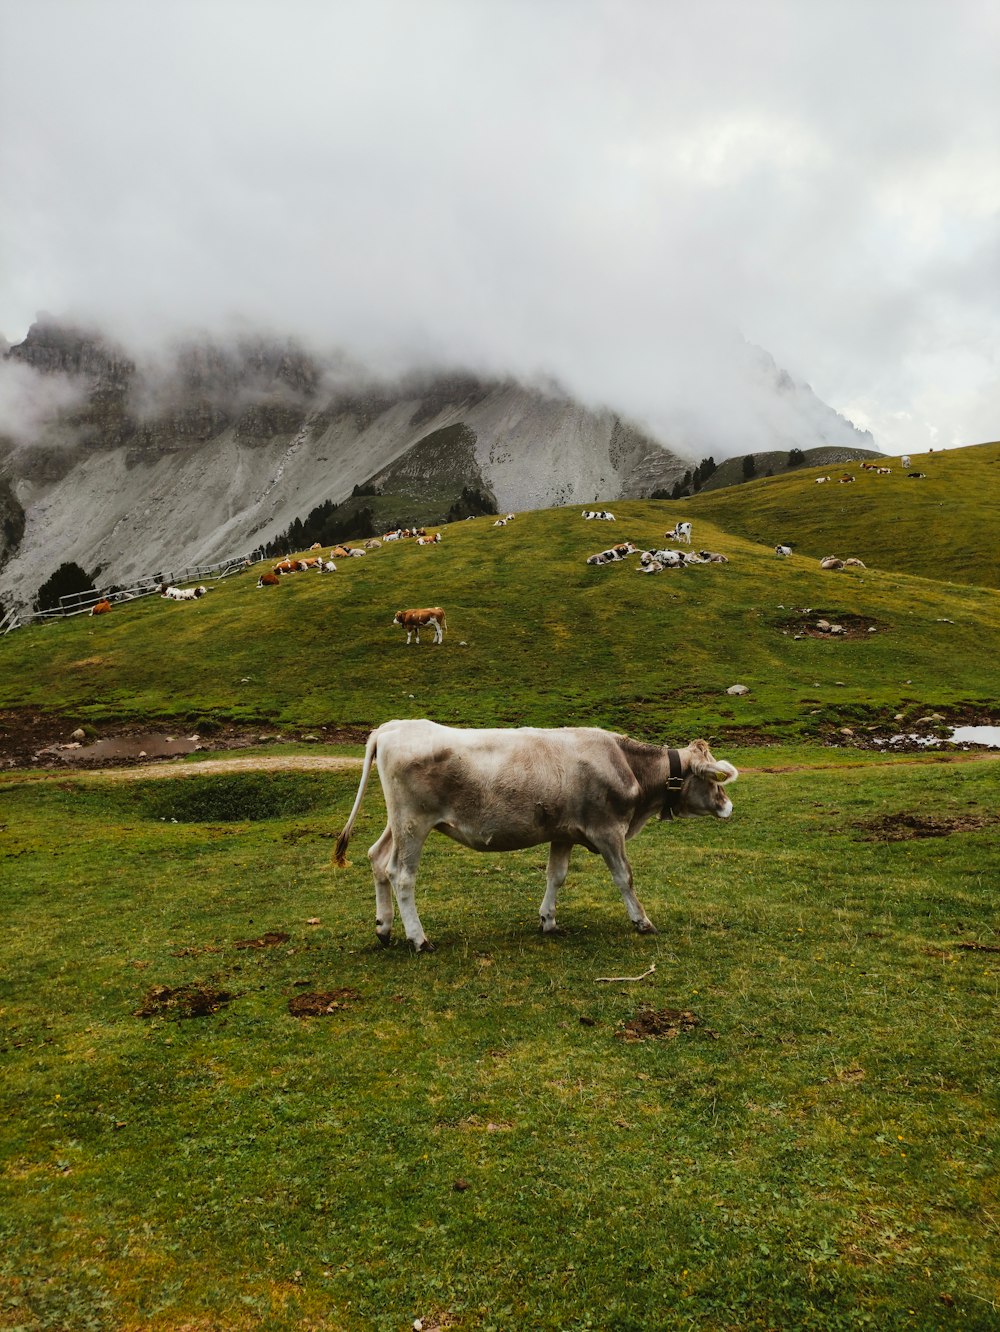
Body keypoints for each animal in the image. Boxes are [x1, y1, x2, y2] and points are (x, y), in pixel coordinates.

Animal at [334, 724, 735, 953]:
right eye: (714, 779)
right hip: (414, 822)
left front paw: (549, 921)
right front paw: (642, 921)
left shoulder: (564, 832)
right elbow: (625, 877)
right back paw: (418, 939)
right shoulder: (607, 831)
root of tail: (392, 728)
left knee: (377, 859)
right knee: (402, 875)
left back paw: (384, 928)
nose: (728, 806)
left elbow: (556, 876)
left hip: (398, 822)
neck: (626, 764)